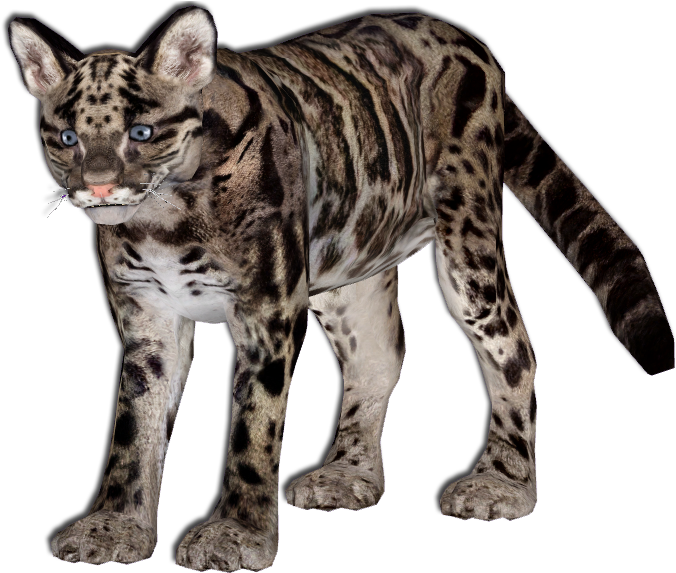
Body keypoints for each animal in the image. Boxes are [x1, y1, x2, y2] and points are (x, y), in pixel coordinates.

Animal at [10, 7, 674, 571]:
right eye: (67, 138)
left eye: (142, 133)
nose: (98, 186)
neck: (163, 217)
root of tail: (467, 37)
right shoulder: (147, 320)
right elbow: (133, 427)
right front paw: (113, 526)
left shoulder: (268, 310)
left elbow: (253, 424)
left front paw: (235, 534)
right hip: (349, 267)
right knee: (380, 356)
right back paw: (348, 474)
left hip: (467, 238)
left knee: (513, 347)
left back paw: (501, 482)